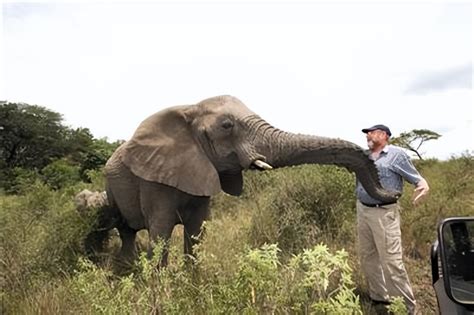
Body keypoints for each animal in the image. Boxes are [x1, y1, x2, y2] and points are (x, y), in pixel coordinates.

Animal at [88, 94, 396, 266]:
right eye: (227, 126)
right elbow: (161, 233)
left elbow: (196, 234)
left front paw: (192, 287)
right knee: (125, 229)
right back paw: (127, 268)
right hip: (110, 188)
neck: (189, 109)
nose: (393, 194)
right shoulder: (154, 180)